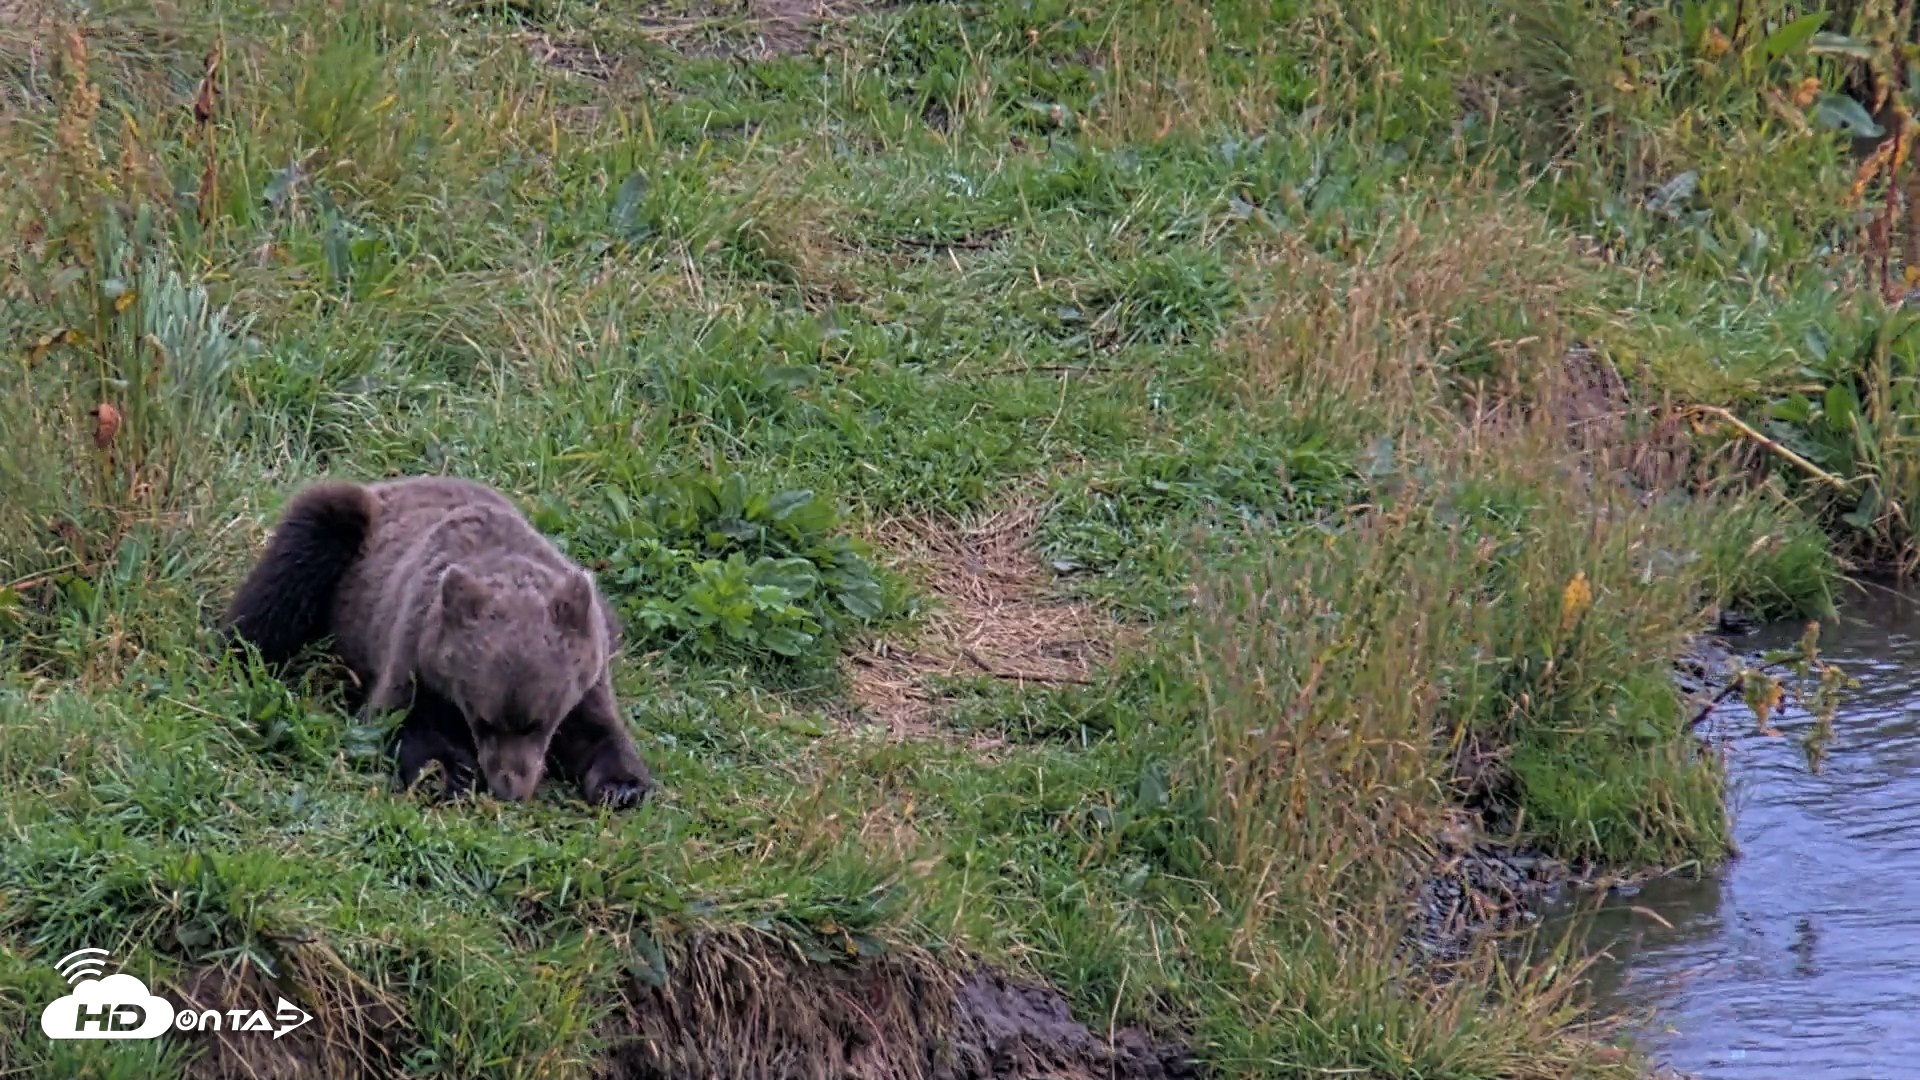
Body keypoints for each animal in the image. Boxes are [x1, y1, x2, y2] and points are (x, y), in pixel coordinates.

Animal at [219, 474, 656, 809]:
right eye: (483, 719)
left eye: (539, 722)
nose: (509, 788)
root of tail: (396, 482)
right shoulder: (413, 647)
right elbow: (400, 721)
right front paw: (451, 773)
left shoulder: (590, 667)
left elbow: (599, 733)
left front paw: (623, 787)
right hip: (344, 540)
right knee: (290, 568)